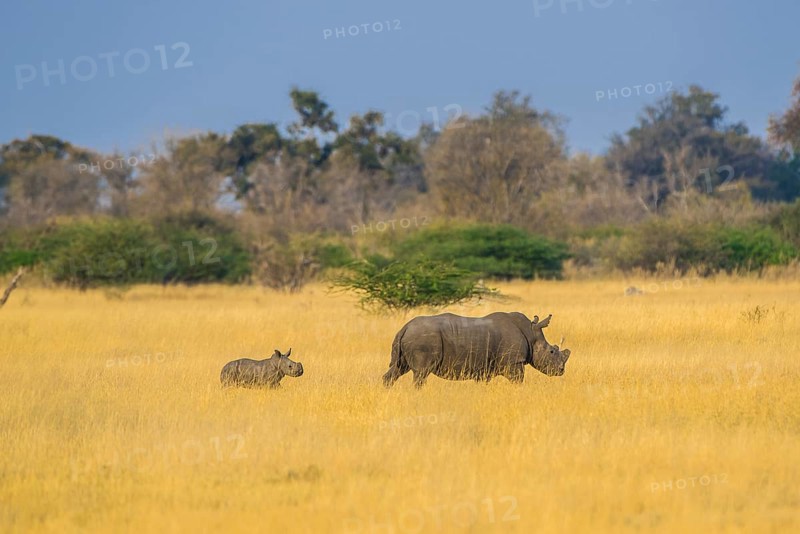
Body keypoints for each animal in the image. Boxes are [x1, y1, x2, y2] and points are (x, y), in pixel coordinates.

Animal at [382, 312, 571, 388]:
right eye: (552, 351)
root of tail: (405, 327)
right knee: (421, 374)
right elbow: (518, 381)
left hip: (411, 338)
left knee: (398, 369)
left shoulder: (484, 367)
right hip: (423, 339)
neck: (531, 334)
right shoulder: (514, 362)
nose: (561, 370)